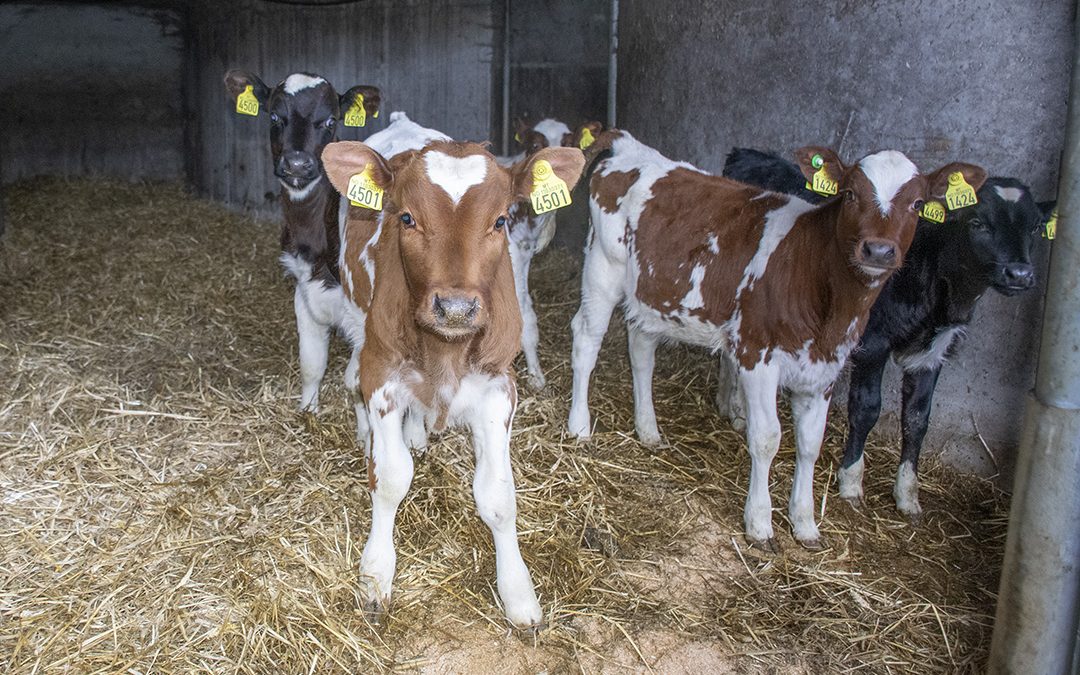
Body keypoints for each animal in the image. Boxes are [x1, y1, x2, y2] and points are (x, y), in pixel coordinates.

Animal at [221, 72, 382, 410]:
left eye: (331, 121)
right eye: (274, 116)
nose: (296, 164)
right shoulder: (304, 289)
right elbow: (311, 363)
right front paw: (308, 411)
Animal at [321, 137, 583, 626]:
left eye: (500, 220)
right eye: (406, 217)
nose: (457, 308)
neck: (444, 349)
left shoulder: (499, 388)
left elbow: (498, 496)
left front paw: (519, 592)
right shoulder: (381, 372)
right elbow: (390, 478)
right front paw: (376, 572)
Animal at [565, 131, 989, 548]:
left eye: (917, 204)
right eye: (851, 193)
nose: (879, 250)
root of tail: (627, 144)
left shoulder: (825, 371)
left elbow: (810, 444)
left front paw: (804, 522)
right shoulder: (757, 355)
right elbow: (767, 438)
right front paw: (759, 523)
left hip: (652, 292)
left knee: (641, 350)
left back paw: (649, 431)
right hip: (603, 271)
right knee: (586, 340)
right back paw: (579, 427)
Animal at [721, 146, 1049, 516]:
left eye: (1036, 227)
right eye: (978, 222)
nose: (1019, 274)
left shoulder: (932, 353)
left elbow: (918, 419)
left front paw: (907, 492)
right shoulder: (873, 343)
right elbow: (866, 408)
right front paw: (851, 479)